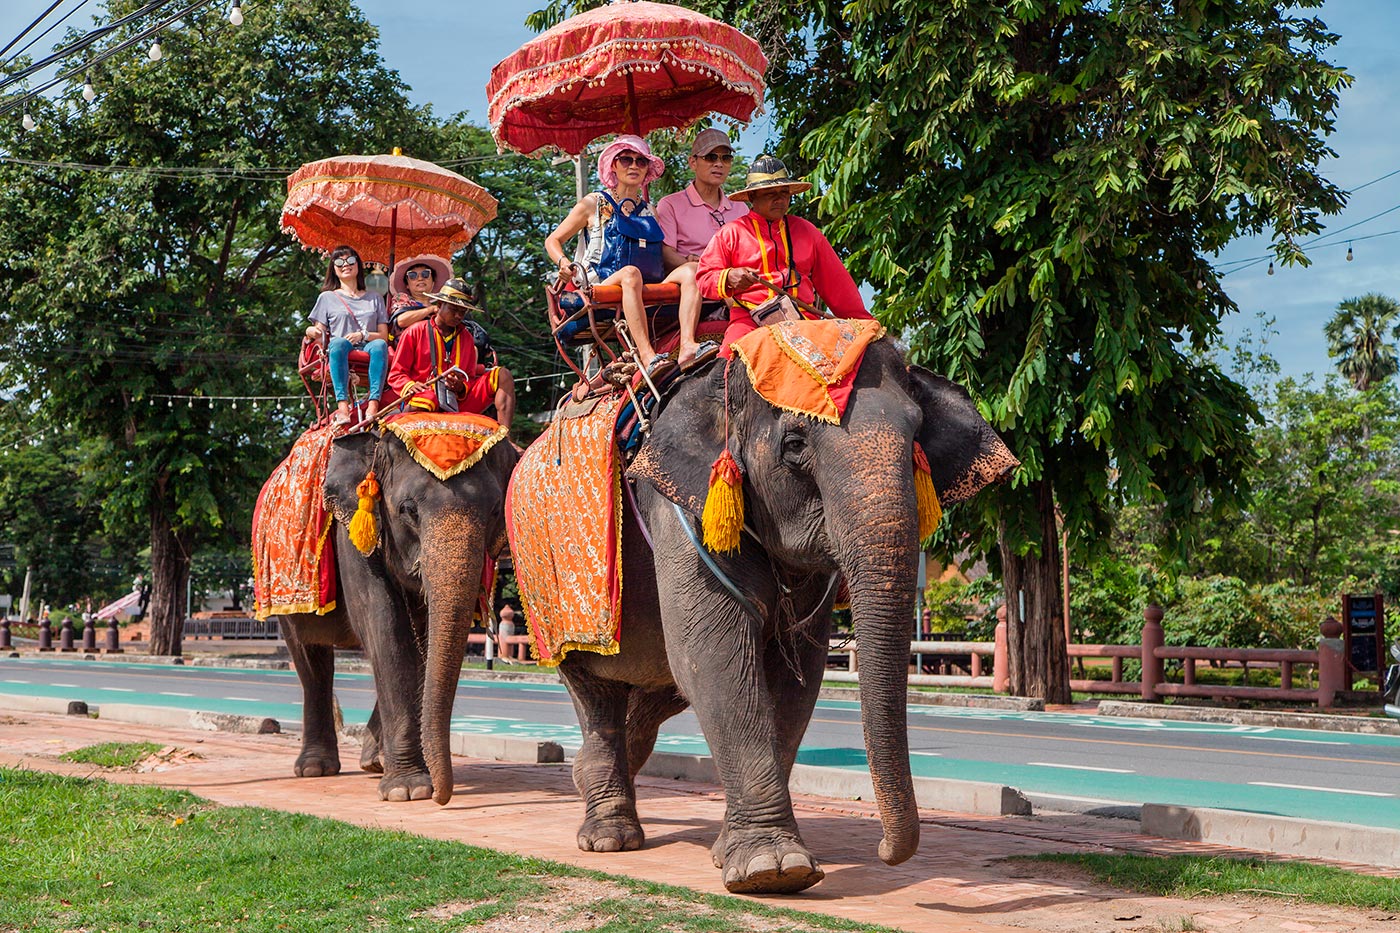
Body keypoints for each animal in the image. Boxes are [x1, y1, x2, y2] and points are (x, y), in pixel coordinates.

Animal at [273, 427, 518, 803]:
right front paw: (409, 790)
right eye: (408, 509)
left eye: (494, 511)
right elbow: (385, 628)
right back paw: (315, 768)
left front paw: (407, 780)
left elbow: (423, 644)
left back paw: (373, 761)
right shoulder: (353, 535)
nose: (442, 797)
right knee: (310, 657)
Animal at [555, 337, 1016, 894]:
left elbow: (795, 676)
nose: (885, 851)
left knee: (659, 693)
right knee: (595, 690)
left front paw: (734, 856)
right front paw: (773, 870)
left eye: (915, 439)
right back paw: (609, 836)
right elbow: (712, 657)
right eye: (795, 444)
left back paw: (585, 776)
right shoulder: (675, 507)